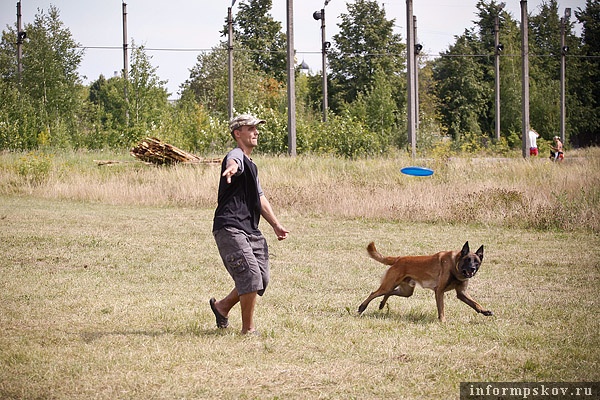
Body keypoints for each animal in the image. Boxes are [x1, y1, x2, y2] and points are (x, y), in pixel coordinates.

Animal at [356, 241, 492, 322]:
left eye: (476, 262)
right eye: (467, 260)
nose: (472, 269)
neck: (455, 264)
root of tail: (399, 259)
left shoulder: (461, 293)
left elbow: (475, 304)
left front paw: (485, 311)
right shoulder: (439, 291)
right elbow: (441, 308)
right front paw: (442, 321)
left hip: (405, 291)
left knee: (388, 293)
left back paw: (382, 304)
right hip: (389, 285)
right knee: (374, 293)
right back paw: (362, 307)